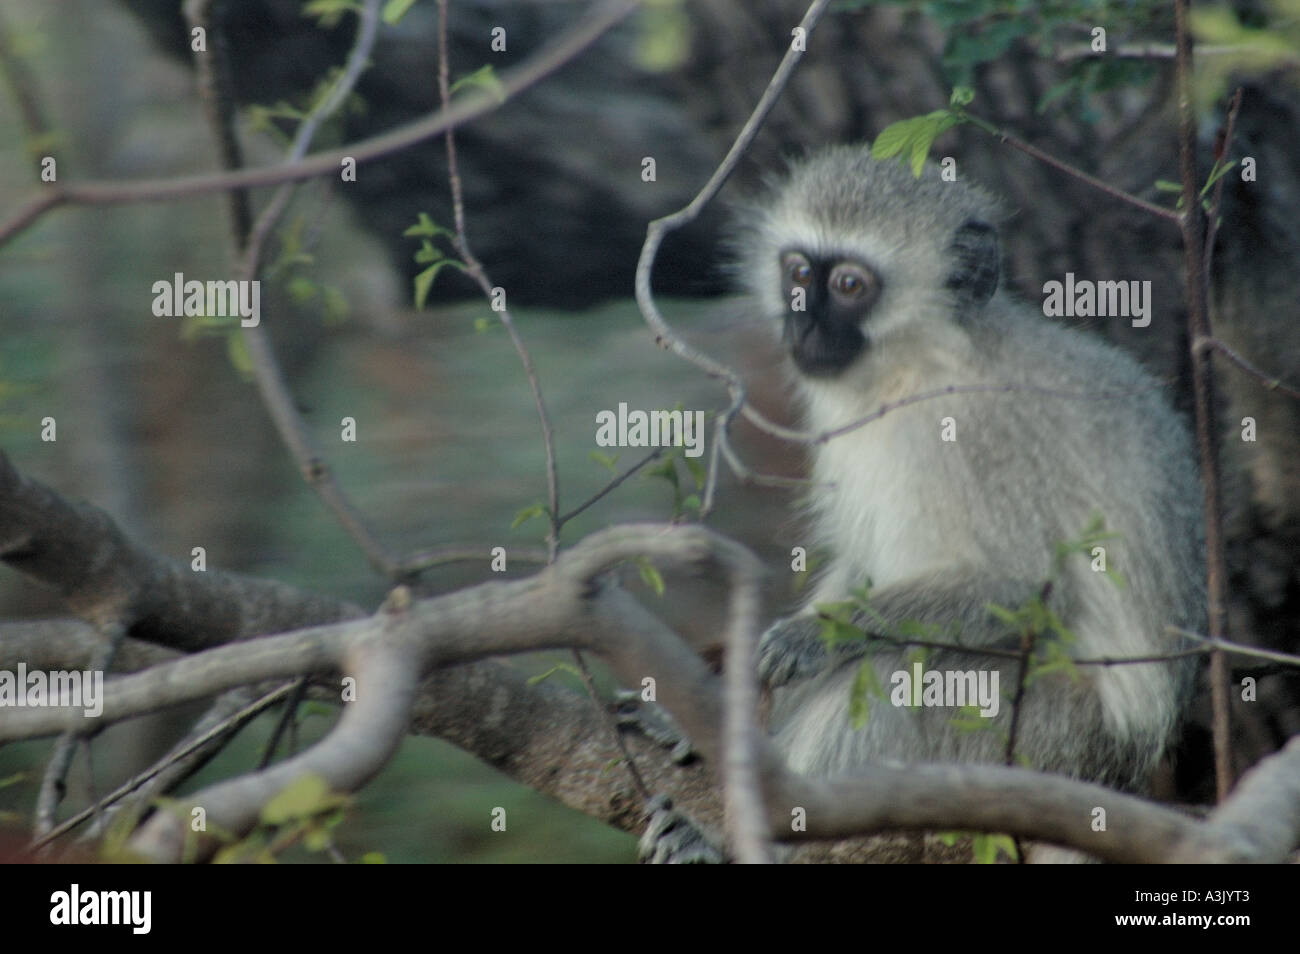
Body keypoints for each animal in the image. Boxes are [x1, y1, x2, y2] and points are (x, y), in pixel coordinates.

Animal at [734, 147, 1206, 804]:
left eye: (850, 285)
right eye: (799, 273)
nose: (800, 325)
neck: (920, 366)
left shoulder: (981, 438)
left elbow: (1017, 585)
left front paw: (811, 636)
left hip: (1042, 739)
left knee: (887, 669)